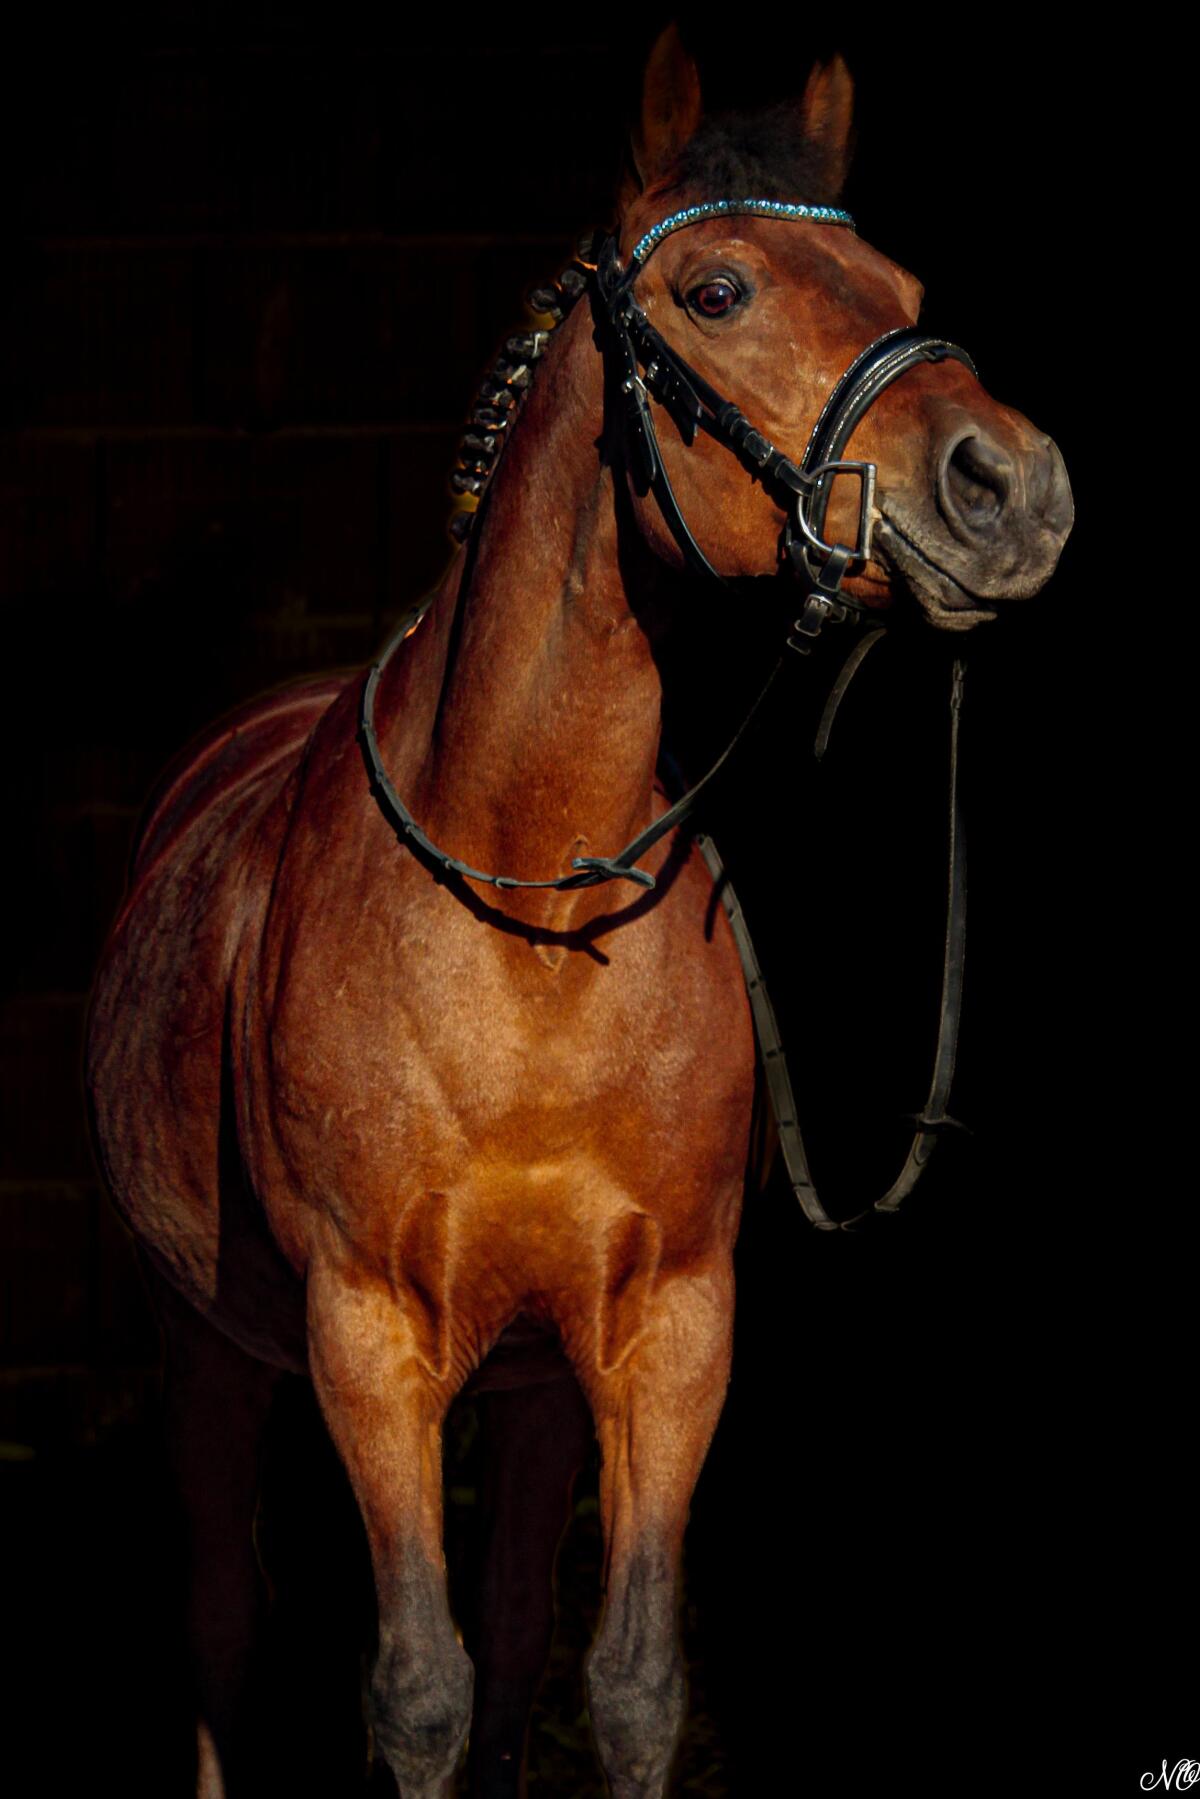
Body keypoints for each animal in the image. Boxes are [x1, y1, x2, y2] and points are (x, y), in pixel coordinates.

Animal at [84, 28, 1073, 1799]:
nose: (1011, 486)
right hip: (205, 1345)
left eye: (901, 281)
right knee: (220, 1615)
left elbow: (621, 1680)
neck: (528, 917)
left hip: (539, 1385)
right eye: (719, 288)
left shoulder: (670, 1329)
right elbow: (415, 1688)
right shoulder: (365, 1336)